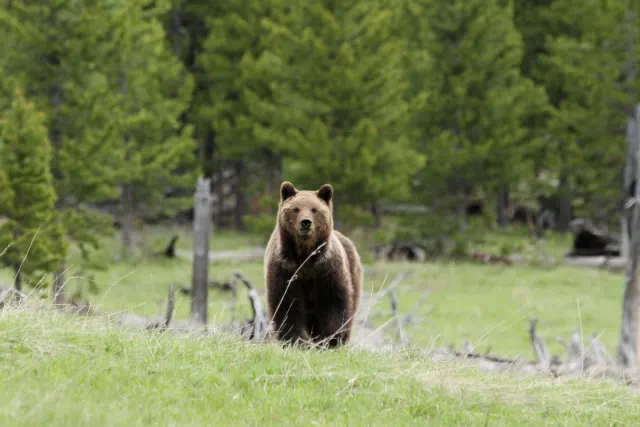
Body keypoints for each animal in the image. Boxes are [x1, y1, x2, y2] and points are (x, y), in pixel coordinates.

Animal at [264, 181, 363, 348]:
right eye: (296, 208)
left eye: (314, 209)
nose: (306, 222)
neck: (305, 256)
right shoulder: (285, 269)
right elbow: (286, 305)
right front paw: (296, 340)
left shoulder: (327, 269)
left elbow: (335, 303)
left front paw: (331, 339)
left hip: (352, 271)